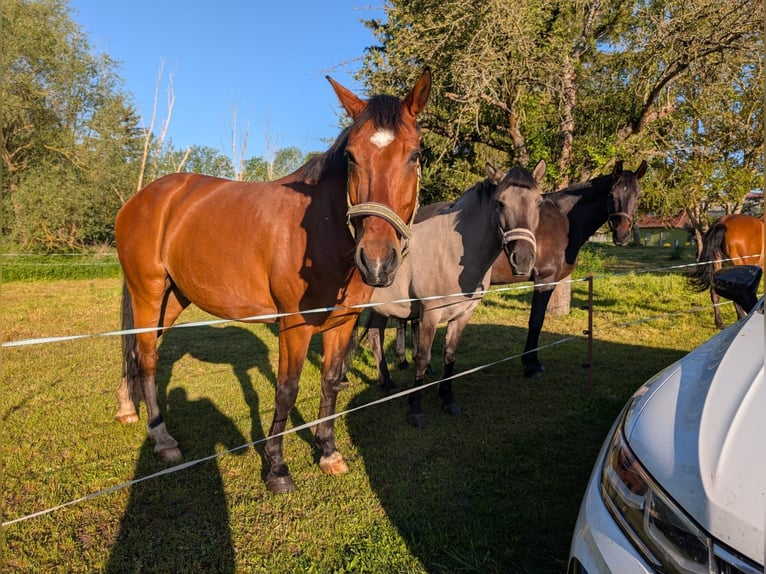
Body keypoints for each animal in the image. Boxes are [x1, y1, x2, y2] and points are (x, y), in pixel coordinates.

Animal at [114, 69, 432, 494]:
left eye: (415, 155)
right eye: (351, 156)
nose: (377, 260)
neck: (322, 231)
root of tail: (142, 199)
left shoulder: (343, 322)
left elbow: (330, 381)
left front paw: (328, 451)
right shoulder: (294, 326)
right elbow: (286, 390)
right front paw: (277, 468)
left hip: (173, 297)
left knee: (135, 351)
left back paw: (127, 409)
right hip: (148, 292)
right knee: (147, 358)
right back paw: (163, 439)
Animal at [361, 161, 545, 428]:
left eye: (538, 202)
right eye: (500, 203)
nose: (522, 260)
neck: (450, 251)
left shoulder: (462, 315)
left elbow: (449, 356)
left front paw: (447, 400)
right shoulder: (430, 315)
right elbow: (422, 358)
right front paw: (415, 410)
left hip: (381, 307)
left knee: (375, 337)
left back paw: (388, 383)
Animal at [394, 160, 647, 378]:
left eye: (637, 196)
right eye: (612, 195)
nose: (622, 234)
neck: (564, 220)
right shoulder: (545, 280)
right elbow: (536, 320)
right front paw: (531, 364)